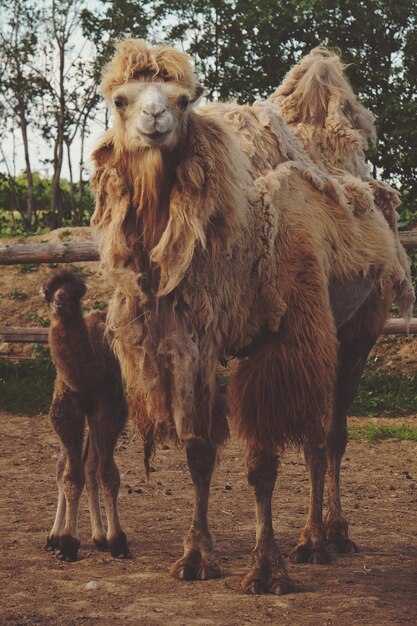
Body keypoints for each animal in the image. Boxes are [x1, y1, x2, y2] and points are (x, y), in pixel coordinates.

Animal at [42, 268, 128, 560]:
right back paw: (54, 536)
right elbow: (70, 474)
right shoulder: (66, 411)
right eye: (48, 289)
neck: (88, 375)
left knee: (90, 465)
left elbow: (107, 473)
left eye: (76, 289)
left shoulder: (110, 407)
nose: (60, 299)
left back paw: (100, 537)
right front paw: (68, 542)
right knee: (65, 466)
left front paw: (117, 541)